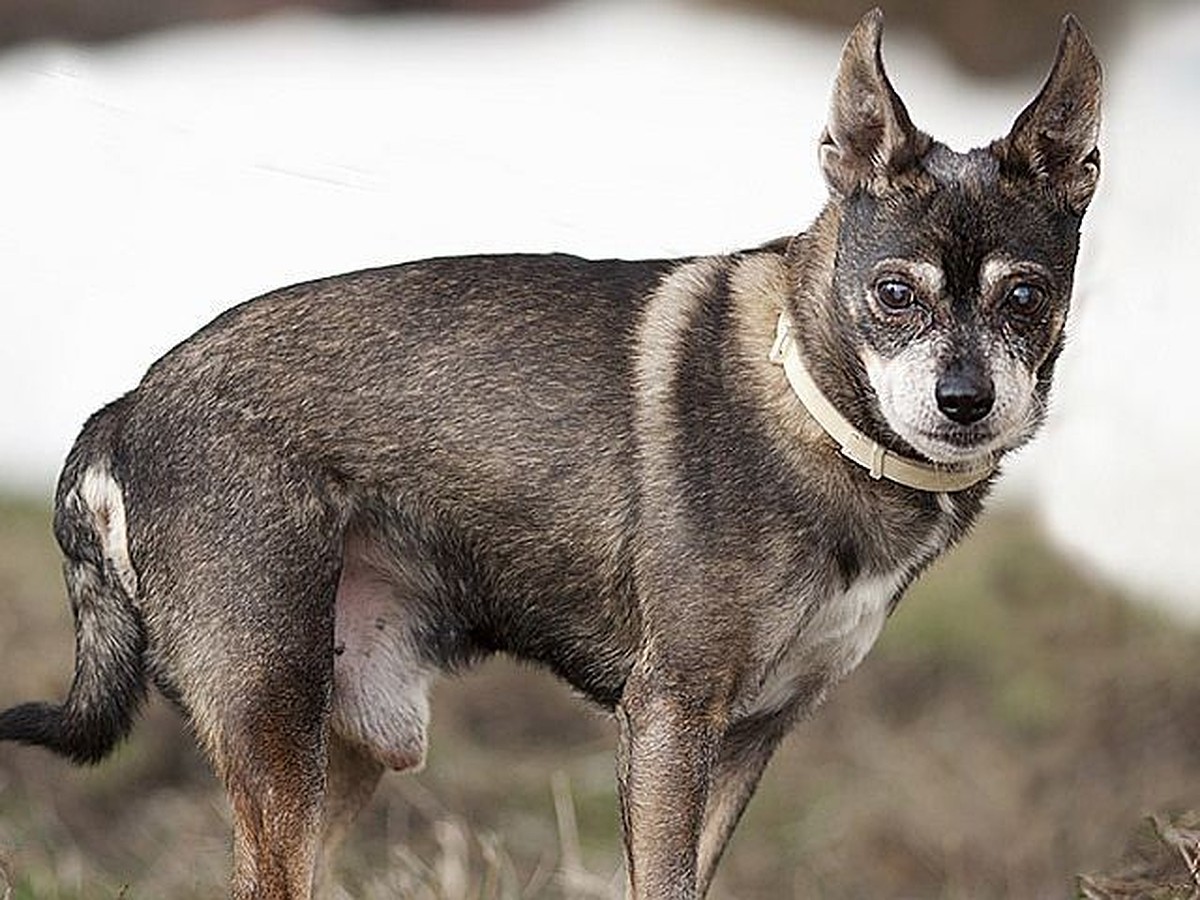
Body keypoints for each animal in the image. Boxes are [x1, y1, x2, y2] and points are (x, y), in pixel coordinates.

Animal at [0, 8, 1099, 900]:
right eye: (894, 294)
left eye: (1026, 296)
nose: (966, 401)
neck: (813, 399)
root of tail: (125, 410)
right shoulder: (669, 718)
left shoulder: (748, 739)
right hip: (274, 716)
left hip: (346, 741)